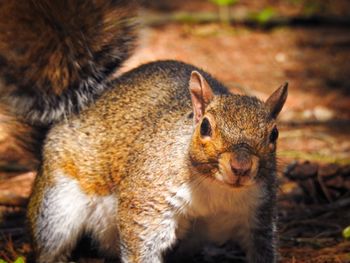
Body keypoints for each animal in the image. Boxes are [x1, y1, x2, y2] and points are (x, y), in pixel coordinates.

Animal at [0, 0, 288, 263]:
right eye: (205, 127)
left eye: (274, 134)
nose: (241, 167)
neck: (216, 189)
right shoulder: (146, 200)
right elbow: (141, 243)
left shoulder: (258, 214)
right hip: (56, 207)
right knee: (50, 245)